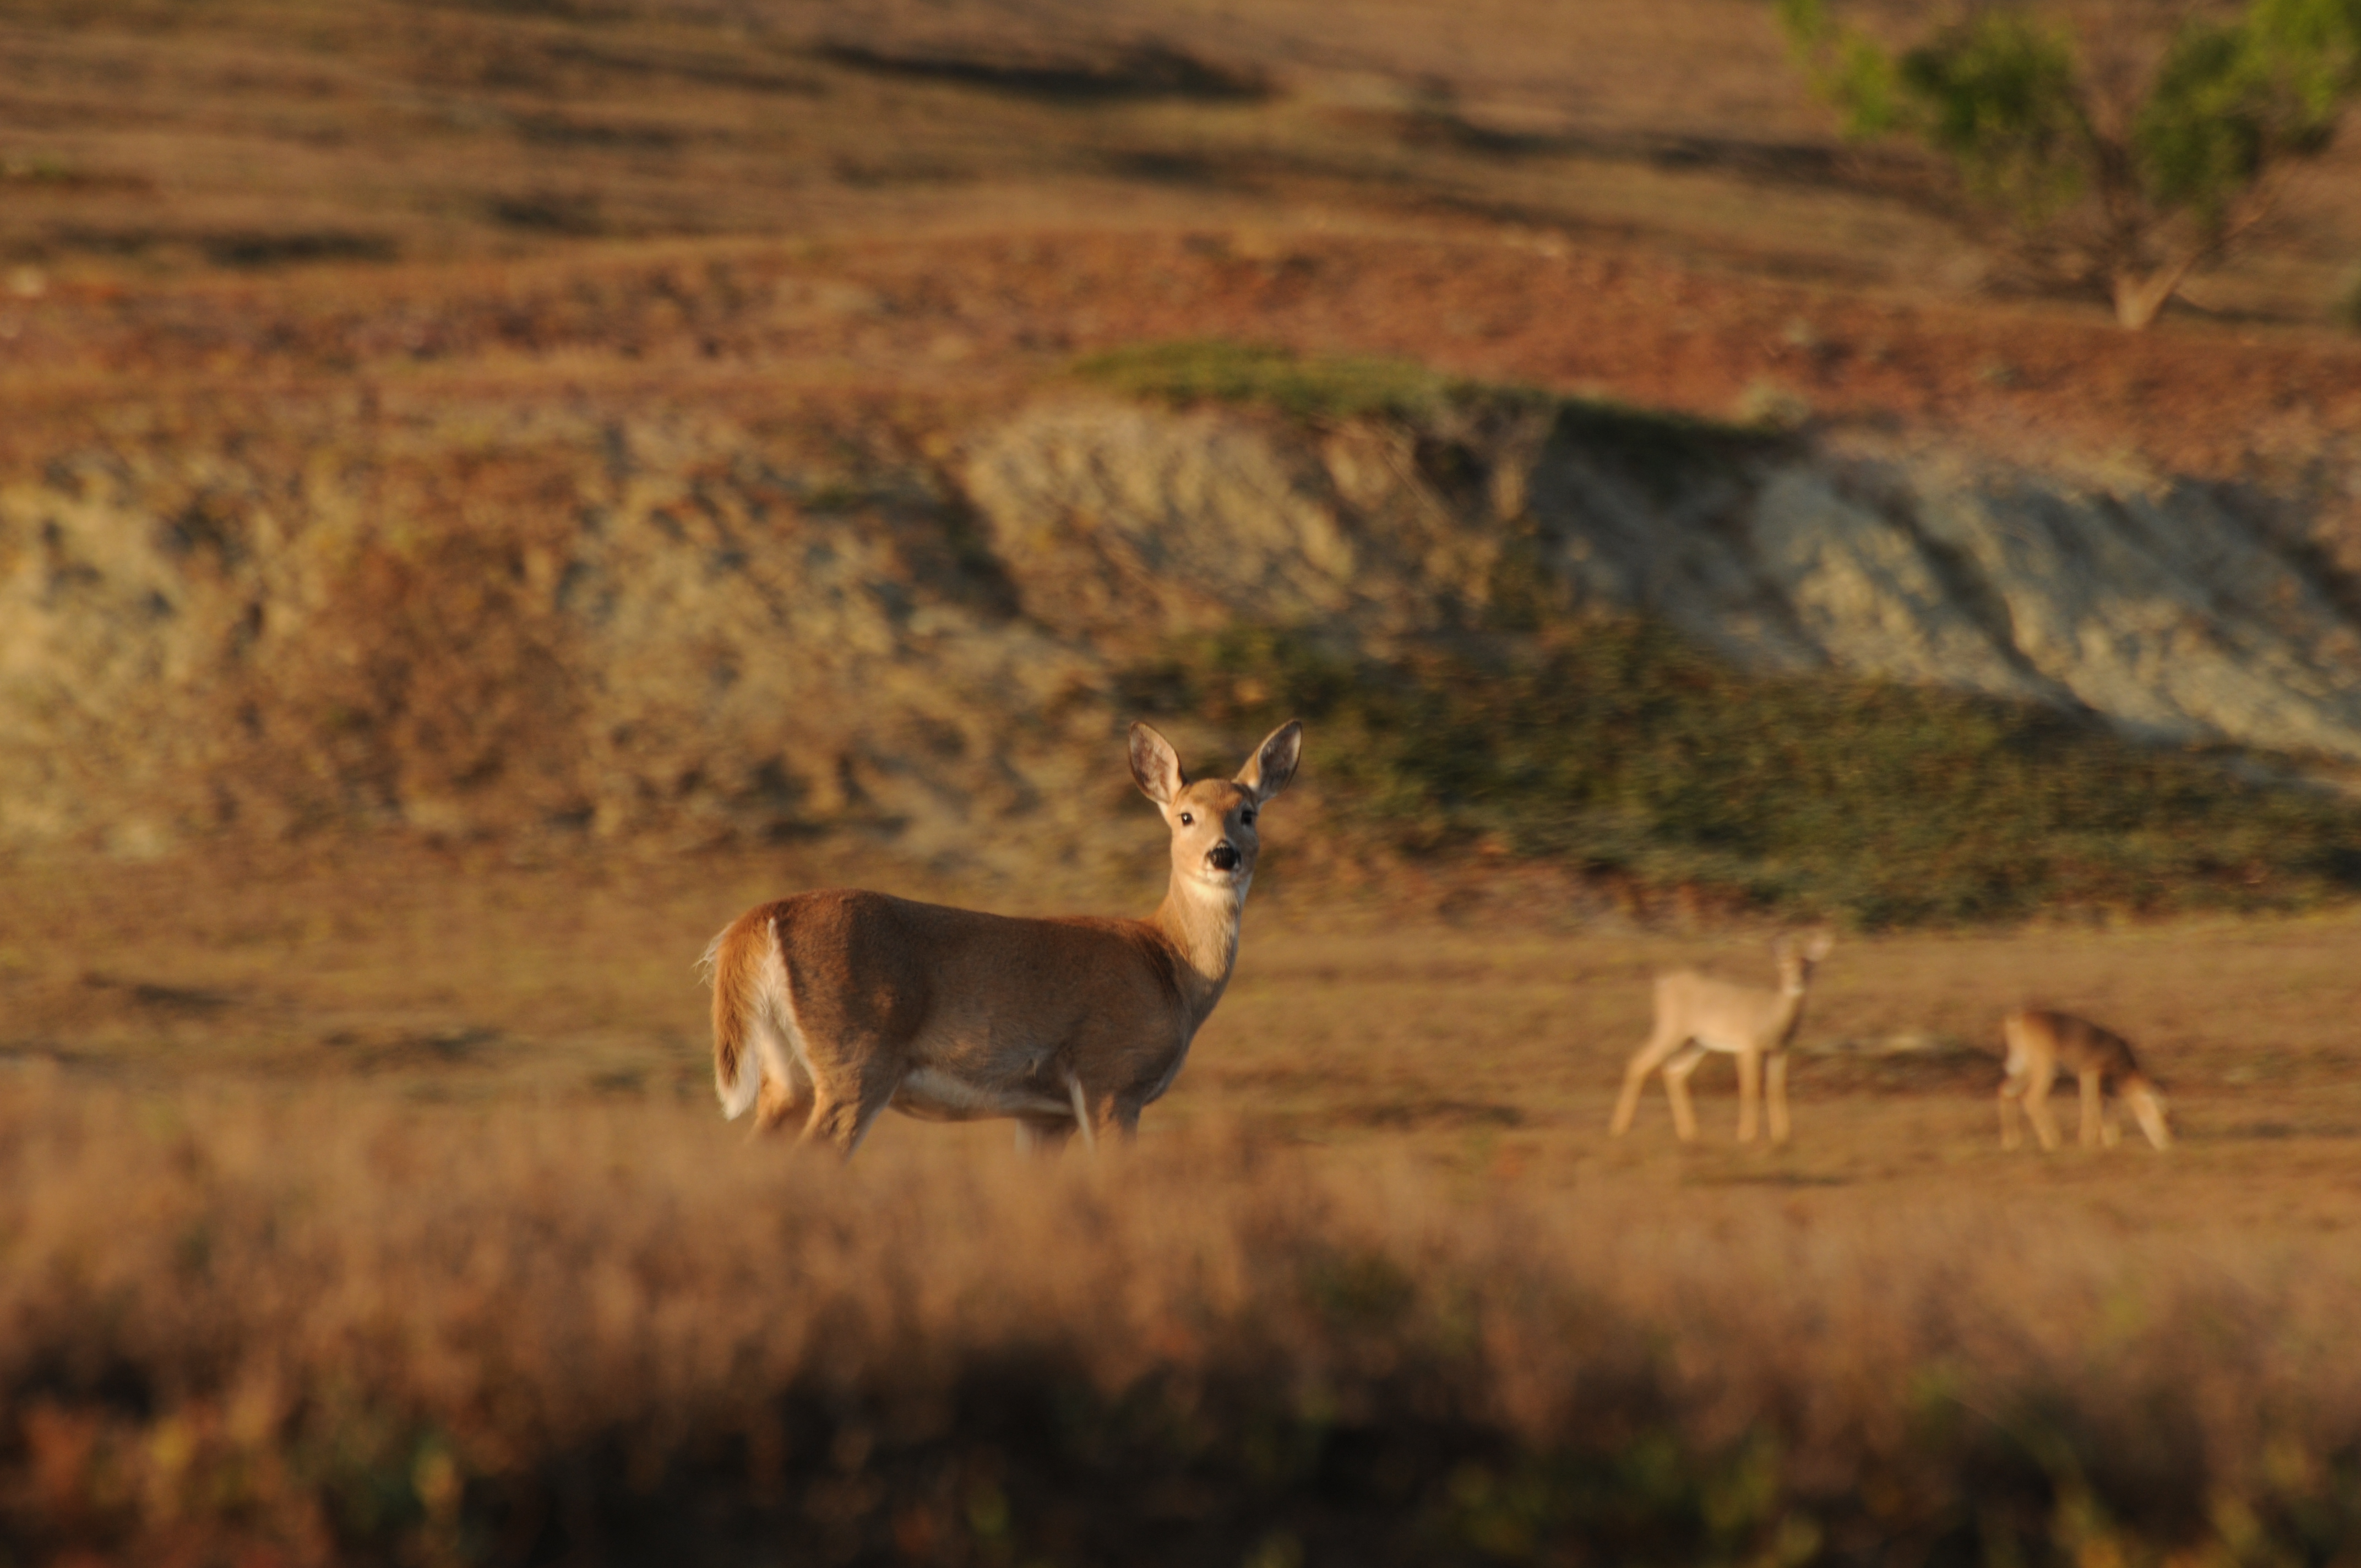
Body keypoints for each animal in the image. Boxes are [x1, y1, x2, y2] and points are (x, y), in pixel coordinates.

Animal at [699, 719, 1302, 1158]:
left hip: (786, 1076)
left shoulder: (1043, 1114)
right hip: (857, 1059)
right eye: (1185, 817)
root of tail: (759, 918)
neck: (1168, 963)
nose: (1223, 855)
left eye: (1248, 813)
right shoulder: (1112, 1075)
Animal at [1608, 933, 1833, 1144]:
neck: (1773, 1017)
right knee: (1640, 1062)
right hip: (1672, 1028)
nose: (1797, 983)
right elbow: (1750, 1088)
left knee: (1674, 1071)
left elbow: (1776, 1089)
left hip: (1697, 1042)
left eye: (1809, 966)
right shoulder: (1748, 1046)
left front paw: (1782, 1136)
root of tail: (1663, 982)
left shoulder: (1779, 1050)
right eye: (1784, 967)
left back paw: (1690, 1134)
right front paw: (1747, 1135)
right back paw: (1620, 1128)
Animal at [1997, 1008, 2172, 1152]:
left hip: (2023, 1069)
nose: (2167, 1141)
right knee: (2031, 1098)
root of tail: (2016, 1019)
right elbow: (2090, 1105)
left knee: (2006, 1092)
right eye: (2163, 1114)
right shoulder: (2090, 1074)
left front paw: (2111, 1143)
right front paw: (2087, 1141)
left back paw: (2010, 1143)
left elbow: (2105, 1108)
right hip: (2044, 1069)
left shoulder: (2101, 1084)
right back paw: (2053, 1141)